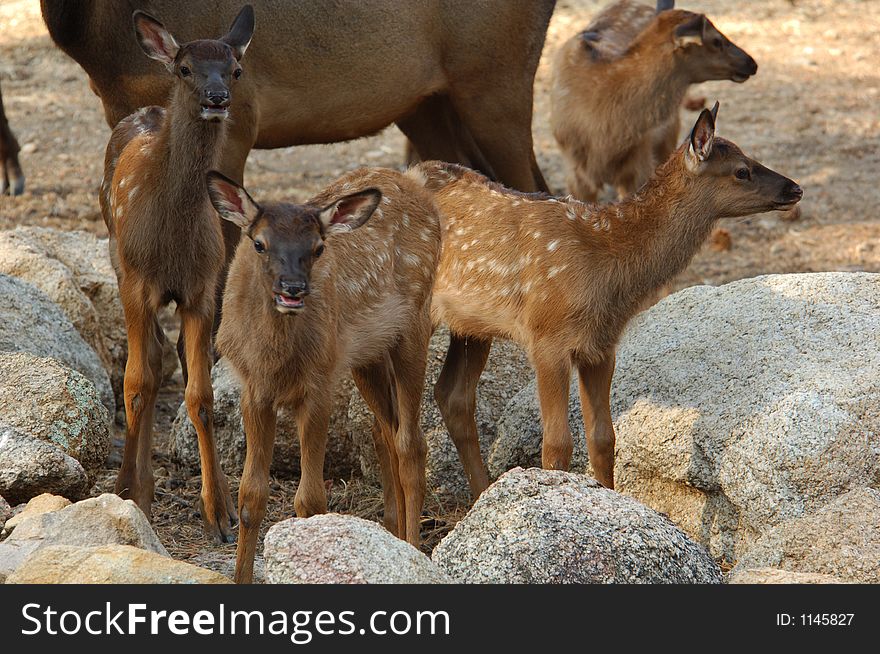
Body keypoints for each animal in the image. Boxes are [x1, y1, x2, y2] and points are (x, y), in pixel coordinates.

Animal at [102, 6, 258, 544]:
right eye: (186, 68)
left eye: (235, 69)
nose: (217, 98)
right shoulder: (136, 282)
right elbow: (135, 383)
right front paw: (132, 495)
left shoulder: (201, 288)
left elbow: (200, 394)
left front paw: (221, 515)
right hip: (118, 261)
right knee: (145, 365)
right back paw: (134, 485)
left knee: (166, 360)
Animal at [206, 167, 440, 588]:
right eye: (259, 243)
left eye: (317, 248)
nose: (293, 289)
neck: (275, 361)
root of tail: (414, 181)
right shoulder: (253, 389)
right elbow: (251, 496)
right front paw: (240, 575)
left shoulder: (320, 383)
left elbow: (311, 500)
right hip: (366, 355)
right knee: (386, 431)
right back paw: (394, 534)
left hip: (414, 322)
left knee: (411, 442)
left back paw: (413, 547)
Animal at [422, 104, 800, 498]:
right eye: (742, 170)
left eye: (751, 158)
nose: (795, 188)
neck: (608, 272)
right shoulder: (546, 336)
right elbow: (557, 444)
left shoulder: (601, 346)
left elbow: (603, 438)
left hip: (471, 327)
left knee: (452, 396)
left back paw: (479, 493)